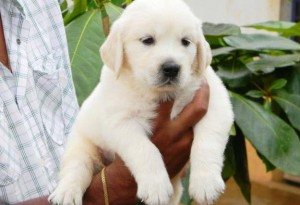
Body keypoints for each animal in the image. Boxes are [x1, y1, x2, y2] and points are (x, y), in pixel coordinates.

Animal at [49, 0, 233, 204]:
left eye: (186, 42)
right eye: (147, 40)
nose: (171, 68)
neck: (161, 93)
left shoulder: (215, 103)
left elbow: (207, 141)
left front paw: (206, 183)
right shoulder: (121, 121)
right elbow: (145, 149)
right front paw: (156, 186)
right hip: (81, 144)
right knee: (76, 168)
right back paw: (66, 193)